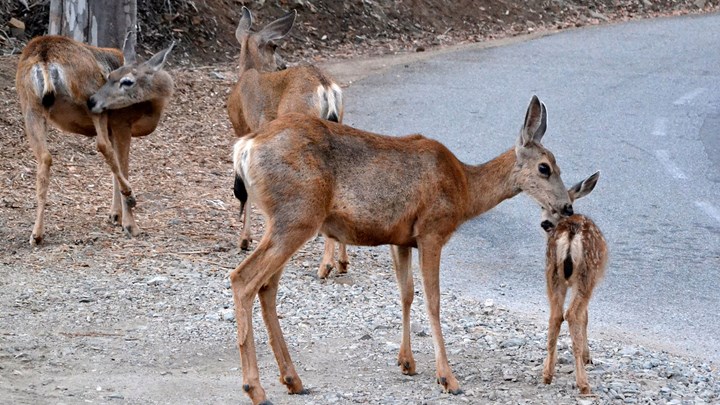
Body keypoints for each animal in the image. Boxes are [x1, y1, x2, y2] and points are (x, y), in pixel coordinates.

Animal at [15, 33, 174, 245]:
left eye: (125, 81)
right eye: (110, 77)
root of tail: (45, 56)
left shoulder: (113, 128)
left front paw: (115, 215)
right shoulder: (121, 123)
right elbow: (122, 165)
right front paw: (128, 223)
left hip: (30, 106)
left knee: (44, 159)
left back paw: (37, 234)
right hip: (88, 96)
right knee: (102, 145)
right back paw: (130, 198)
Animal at [226, 6, 348, 278]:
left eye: (274, 45)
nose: (282, 64)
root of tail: (325, 86)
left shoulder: (244, 130)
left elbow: (245, 188)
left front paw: (245, 239)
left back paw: (324, 266)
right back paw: (341, 263)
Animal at [231, 96, 572, 402]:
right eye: (545, 167)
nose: (567, 206)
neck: (465, 190)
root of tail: (245, 147)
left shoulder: (400, 239)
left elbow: (406, 293)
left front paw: (407, 362)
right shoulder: (432, 230)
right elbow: (433, 301)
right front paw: (448, 378)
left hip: (284, 220)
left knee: (267, 287)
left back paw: (293, 380)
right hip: (298, 214)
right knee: (243, 279)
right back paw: (256, 389)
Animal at [540, 170, 608, 394]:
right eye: (543, 205)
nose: (545, 223)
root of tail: (570, 233)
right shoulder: (590, 281)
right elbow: (585, 316)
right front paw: (588, 357)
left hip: (552, 271)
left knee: (555, 315)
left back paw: (547, 374)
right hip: (587, 273)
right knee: (571, 314)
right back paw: (583, 383)